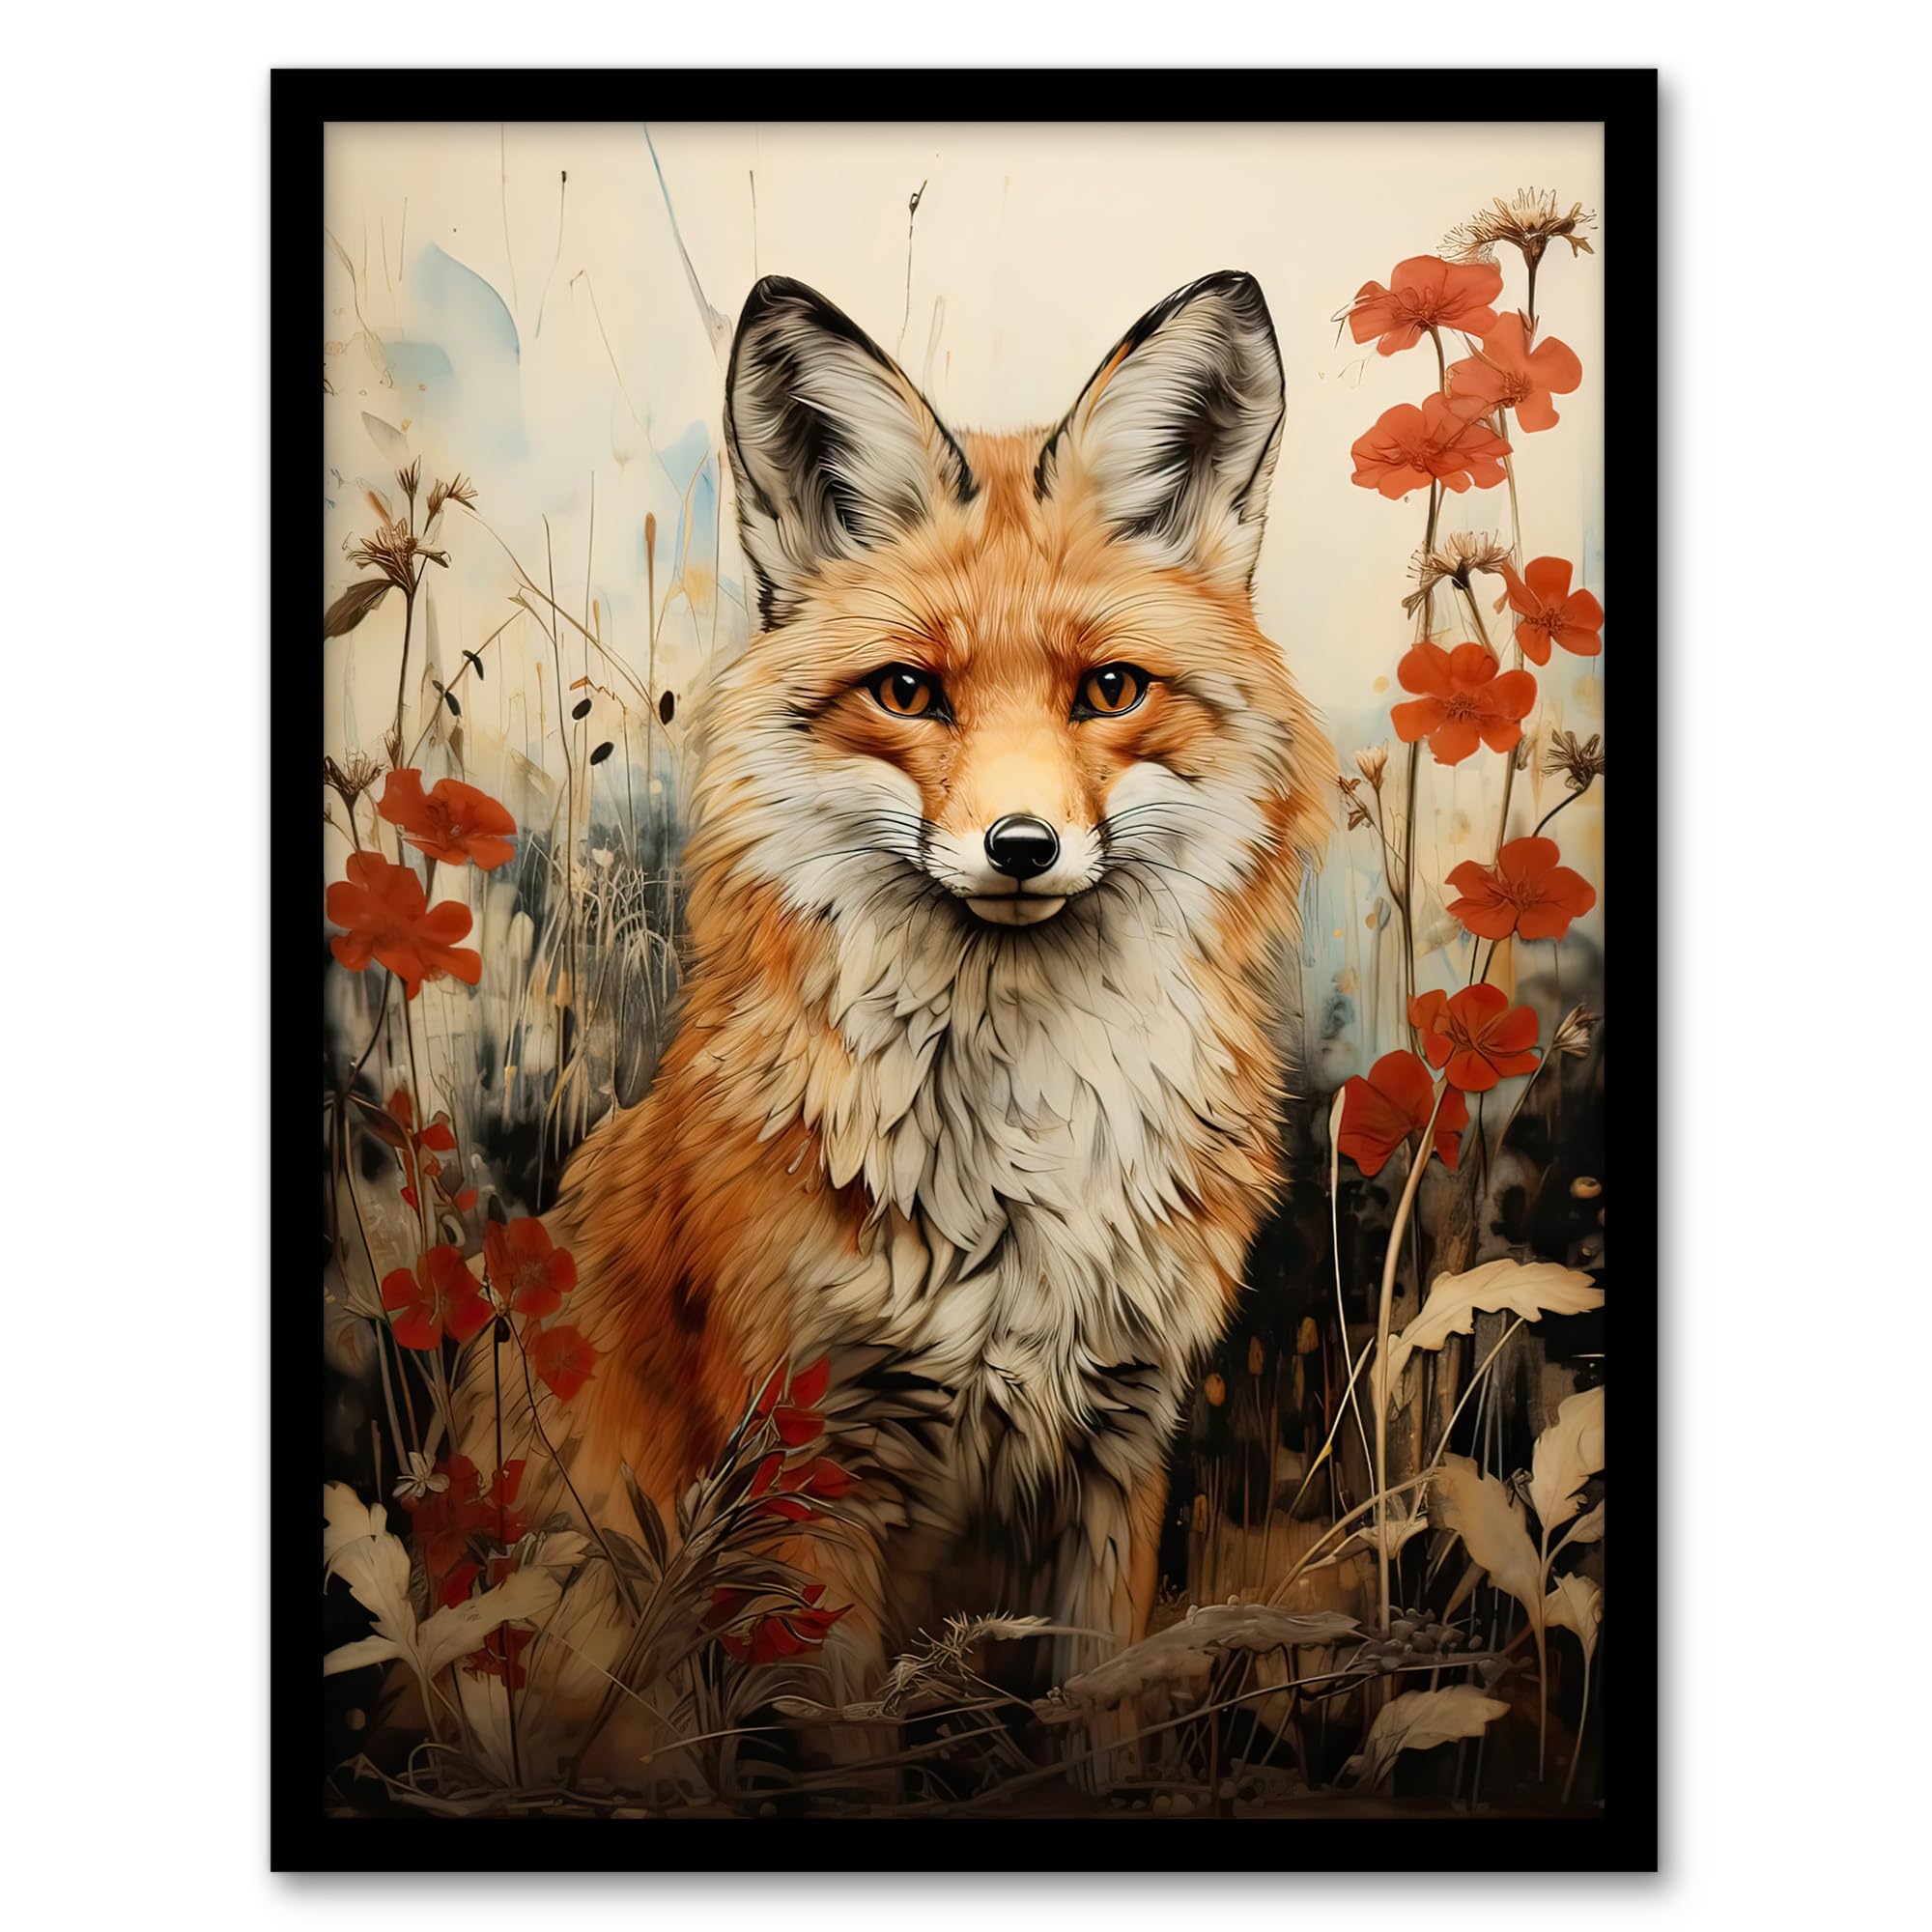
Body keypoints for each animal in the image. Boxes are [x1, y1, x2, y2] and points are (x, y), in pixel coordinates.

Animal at [443, 269, 1335, 1780]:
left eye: (1109, 690)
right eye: (909, 692)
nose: (1022, 847)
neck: (1026, 1159)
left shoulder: (1120, 1449)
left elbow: (1105, 1727)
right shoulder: (809, 1471)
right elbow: (853, 1749)